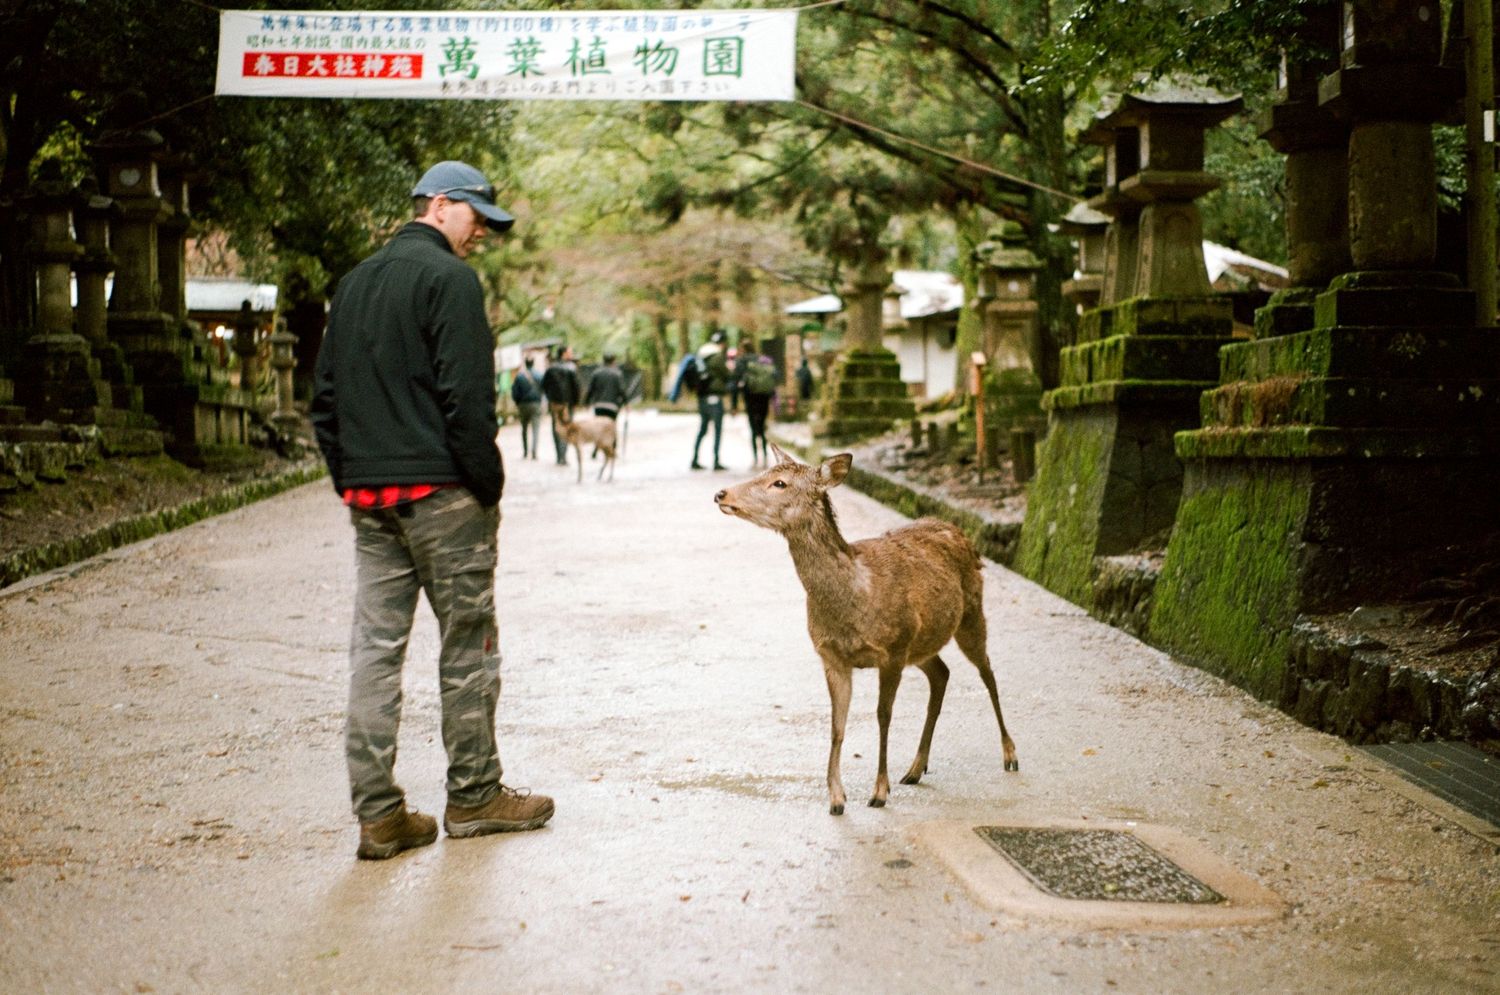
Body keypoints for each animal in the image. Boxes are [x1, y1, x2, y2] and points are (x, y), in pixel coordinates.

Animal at [714, 445, 1018, 815]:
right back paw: (916, 768)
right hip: (922, 643)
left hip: (970, 614)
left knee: (988, 672)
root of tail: (959, 531)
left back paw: (1009, 754)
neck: (855, 596)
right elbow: (837, 725)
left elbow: (883, 716)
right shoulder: (832, 656)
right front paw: (836, 797)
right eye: (764, 473)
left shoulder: (893, 649)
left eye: (780, 482)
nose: (722, 494)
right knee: (942, 673)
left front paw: (879, 792)